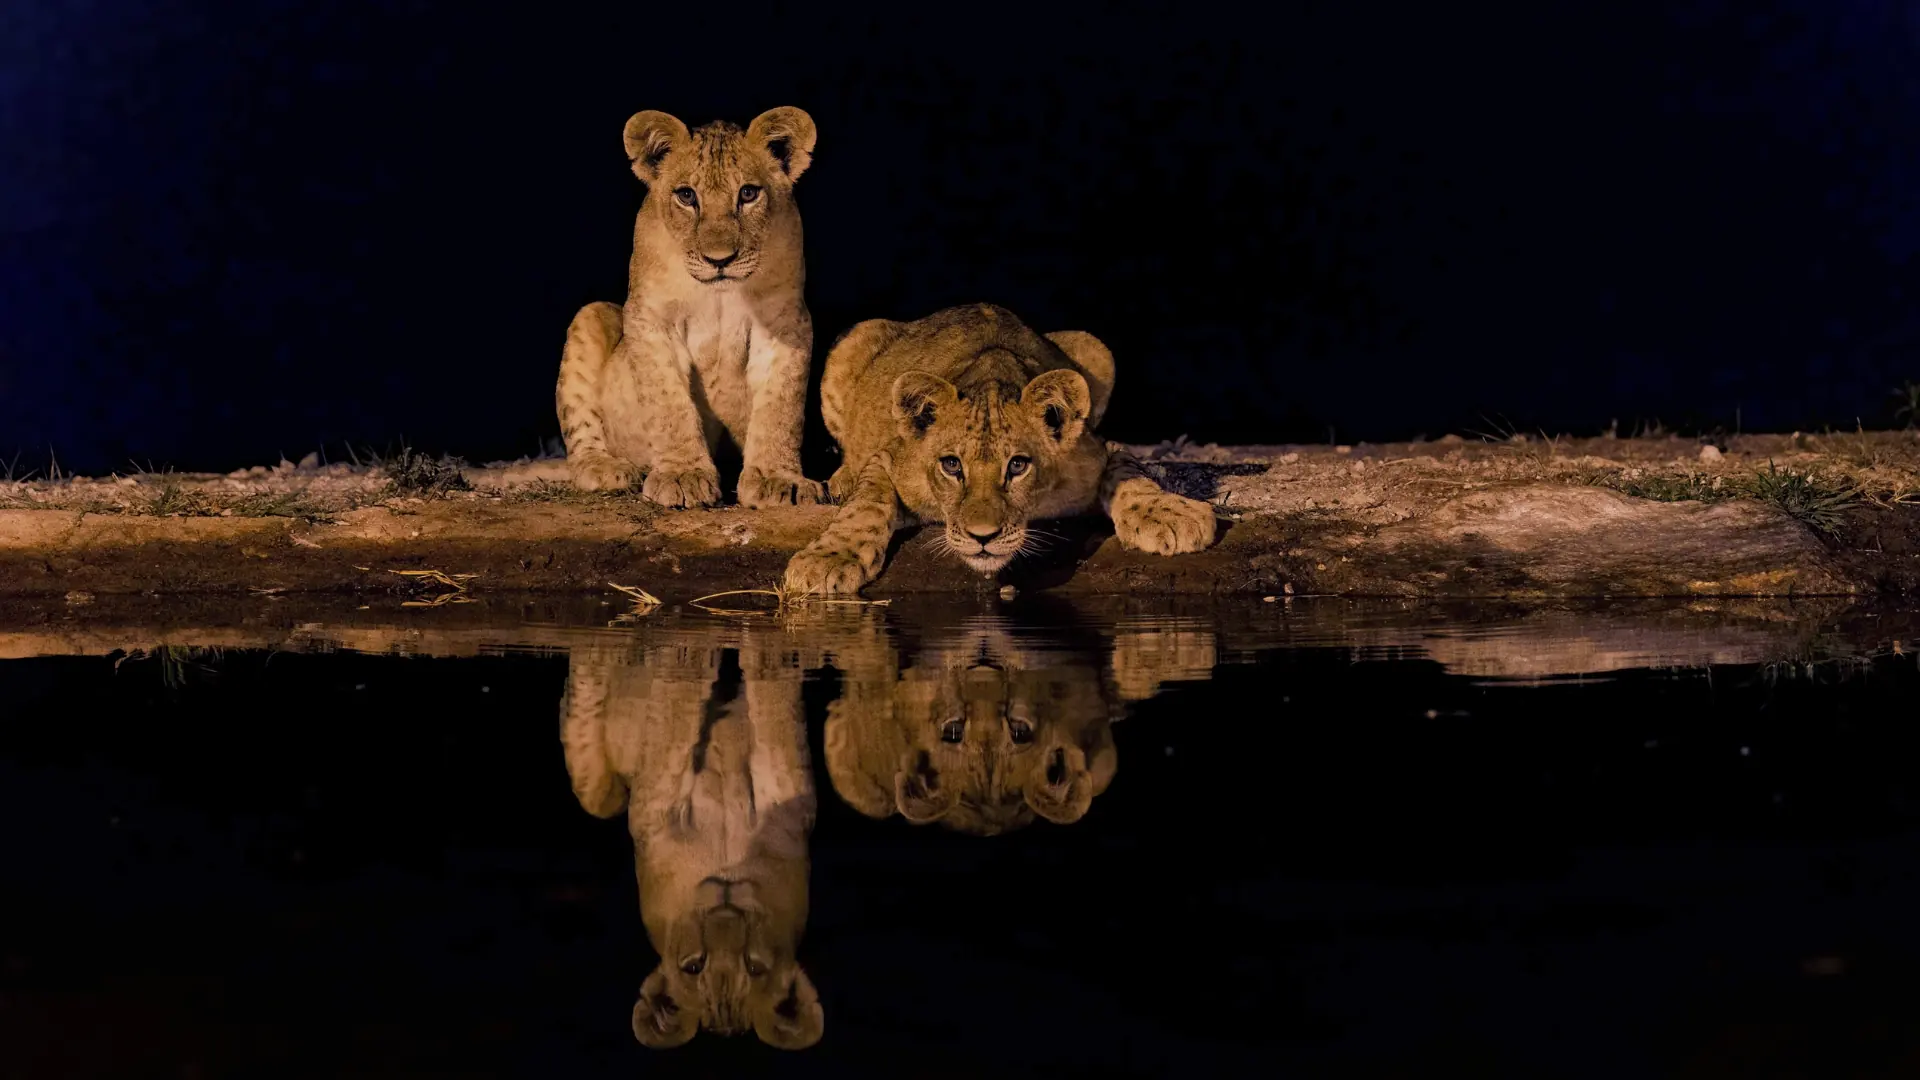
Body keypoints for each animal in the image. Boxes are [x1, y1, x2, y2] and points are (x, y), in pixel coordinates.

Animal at [556, 106, 825, 509]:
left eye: (748, 194)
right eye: (686, 196)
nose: (720, 259)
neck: (721, 294)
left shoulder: (785, 322)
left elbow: (781, 406)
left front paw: (778, 479)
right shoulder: (650, 319)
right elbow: (669, 404)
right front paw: (683, 475)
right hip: (591, 314)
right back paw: (605, 468)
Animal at [559, 624, 824, 1050]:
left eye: (755, 966)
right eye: (693, 966)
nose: (725, 917)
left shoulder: (790, 799)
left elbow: (775, 715)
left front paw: (772, 656)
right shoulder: (652, 809)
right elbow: (673, 717)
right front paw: (687, 654)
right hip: (600, 796)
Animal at [782, 303, 1218, 595]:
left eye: (1018, 465)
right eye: (952, 465)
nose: (982, 537)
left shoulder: (1097, 446)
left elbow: (1130, 474)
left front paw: (1171, 515)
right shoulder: (892, 456)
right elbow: (866, 503)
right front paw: (829, 559)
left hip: (1094, 347)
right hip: (855, 338)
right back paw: (841, 481)